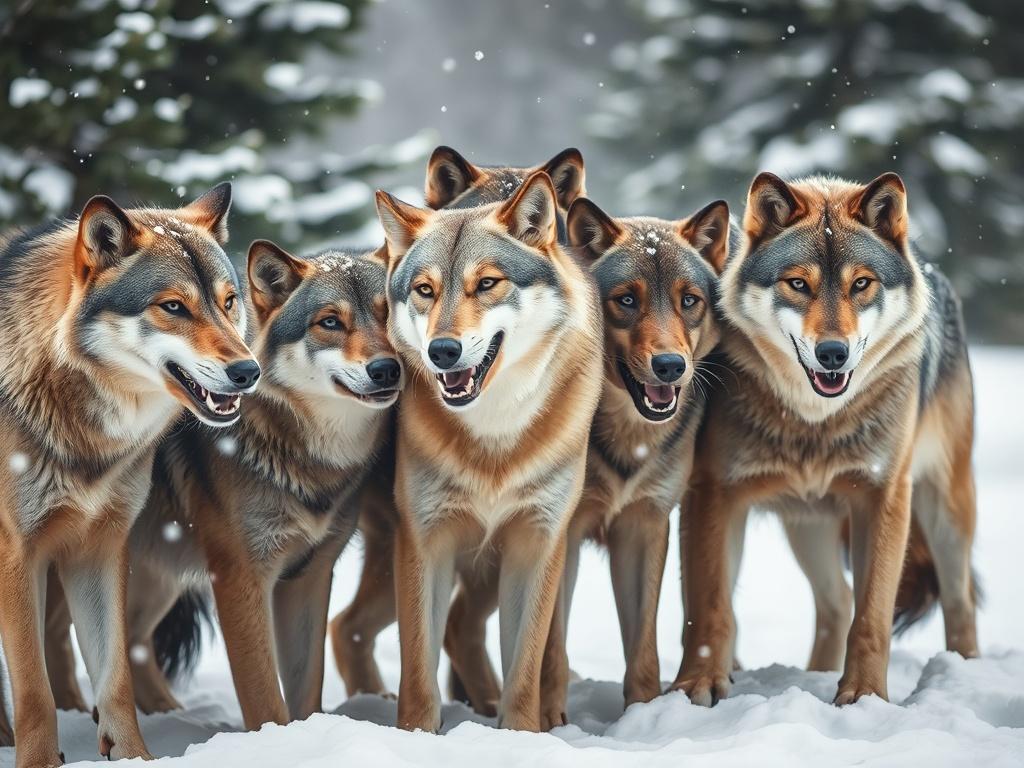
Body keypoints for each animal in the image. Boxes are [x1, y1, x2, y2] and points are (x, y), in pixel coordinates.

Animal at [0, 185, 256, 767]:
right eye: (173, 306)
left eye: (229, 302)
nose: (248, 371)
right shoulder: (16, 555)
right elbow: (32, 690)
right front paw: (39, 761)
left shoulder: (99, 547)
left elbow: (114, 676)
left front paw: (134, 755)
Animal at [117, 241, 403, 730]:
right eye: (330, 322)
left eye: (389, 313)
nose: (388, 369)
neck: (307, 458)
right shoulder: (240, 577)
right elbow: (264, 696)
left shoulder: (308, 576)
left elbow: (306, 689)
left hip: (157, 574)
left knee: (133, 643)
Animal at [328, 146, 588, 703]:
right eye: (426, 289)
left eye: (487, 282)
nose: (441, 351)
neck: (495, 427)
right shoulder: (426, 537)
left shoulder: (542, 536)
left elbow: (534, 657)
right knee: (349, 626)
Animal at [671, 172, 978, 707]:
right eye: (798, 283)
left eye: (861, 284)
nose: (832, 353)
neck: (816, 422)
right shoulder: (712, 493)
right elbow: (710, 607)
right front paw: (699, 685)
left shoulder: (884, 496)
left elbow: (872, 616)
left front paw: (864, 697)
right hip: (808, 526)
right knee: (836, 601)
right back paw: (813, 676)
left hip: (944, 511)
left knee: (959, 604)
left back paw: (963, 674)